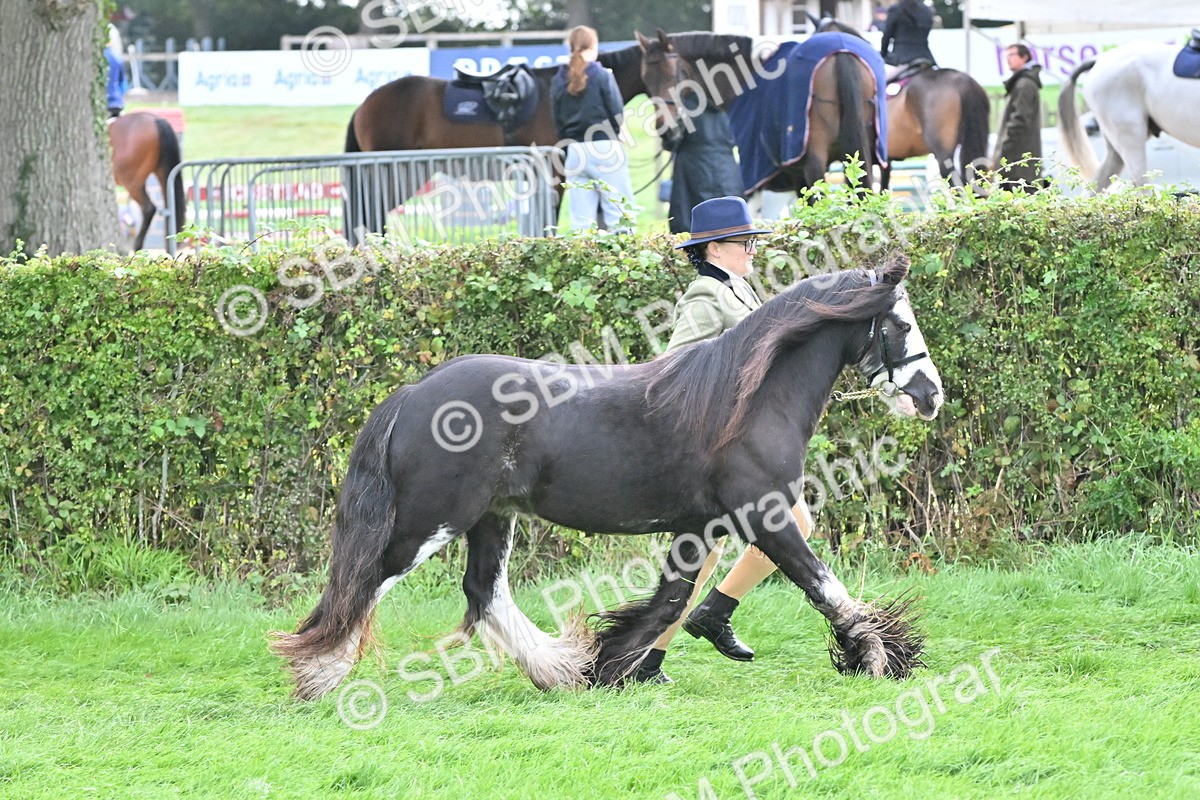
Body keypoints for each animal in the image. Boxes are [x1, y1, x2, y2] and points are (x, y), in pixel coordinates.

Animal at [271, 255, 944, 699]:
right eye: (901, 325)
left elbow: (670, 598)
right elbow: (819, 582)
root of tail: (414, 394)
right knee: (367, 581)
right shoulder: (766, 514)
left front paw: (615, 665)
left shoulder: (702, 526)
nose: (931, 396)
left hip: (492, 517)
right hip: (429, 521)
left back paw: (559, 669)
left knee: (484, 593)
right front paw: (880, 656)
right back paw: (320, 677)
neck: (745, 399)